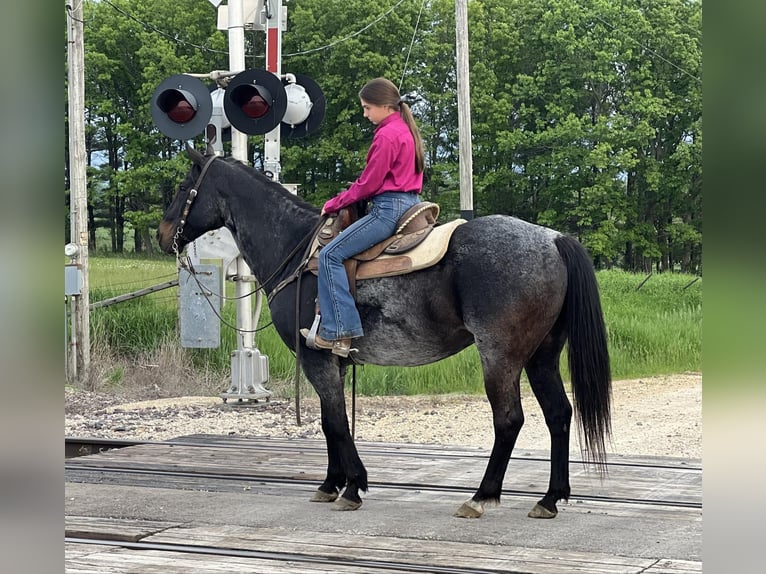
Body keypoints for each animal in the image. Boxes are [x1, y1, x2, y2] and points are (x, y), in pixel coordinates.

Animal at [159, 147, 616, 520]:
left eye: (183, 187)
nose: (164, 235)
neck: (297, 249)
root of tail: (553, 239)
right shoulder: (333, 360)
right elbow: (330, 420)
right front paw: (331, 483)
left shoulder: (316, 359)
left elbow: (335, 421)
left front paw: (352, 486)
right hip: (542, 356)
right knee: (559, 414)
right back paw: (550, 498)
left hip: (500, 355)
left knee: (509, 420)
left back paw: (481, 497)